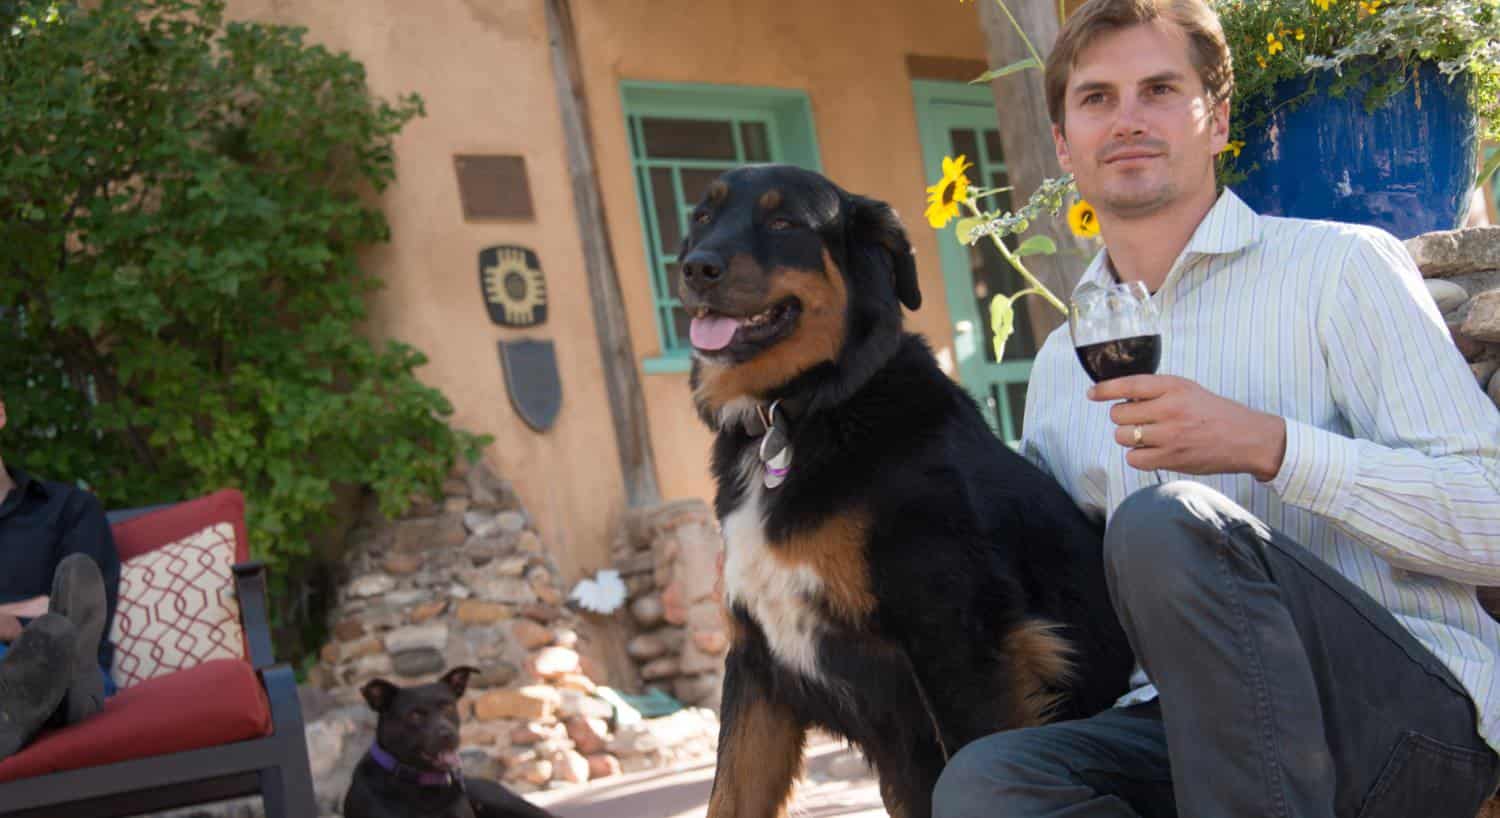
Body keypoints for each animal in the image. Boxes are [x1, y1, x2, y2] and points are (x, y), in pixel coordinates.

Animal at [678, 162, 1128, 810]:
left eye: (783, 222)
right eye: (703, 216)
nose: (696, 268)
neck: (800, 413)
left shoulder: (957, 644)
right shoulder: (757, 667)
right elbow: (729, 798)